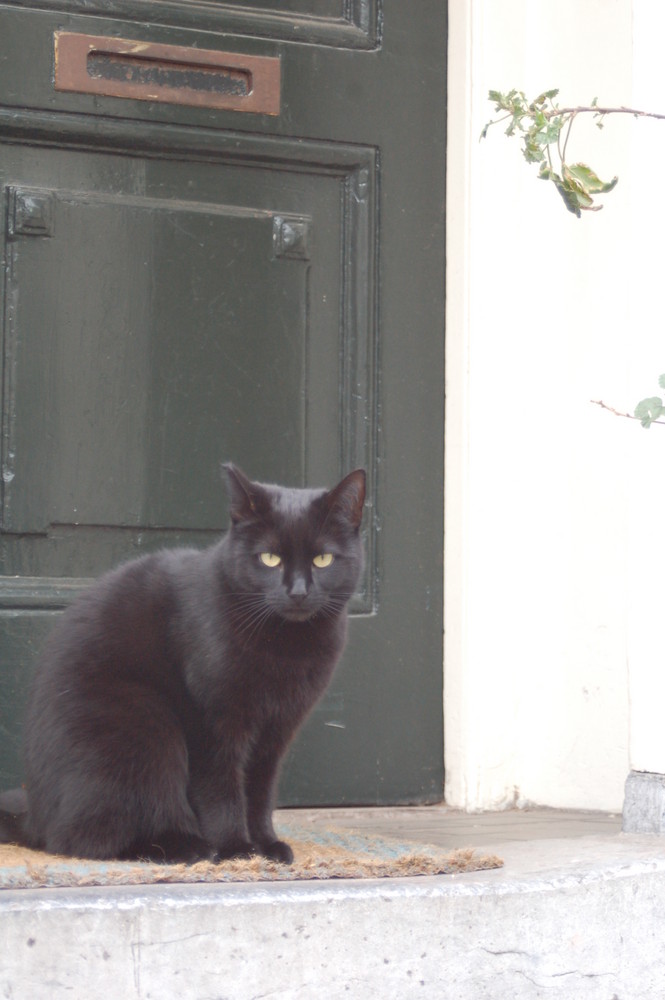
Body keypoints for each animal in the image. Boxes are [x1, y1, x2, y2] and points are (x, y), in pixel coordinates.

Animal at [0, 464, 364, 864]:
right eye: (270, 558)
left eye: (322, 560)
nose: (298, 591)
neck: (286, 648)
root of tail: (33, 816)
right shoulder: (213, 721)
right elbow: (221, 790)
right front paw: (236, 849)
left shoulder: (276, 730)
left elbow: (260, 792)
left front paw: (267, 846)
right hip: (147, 724)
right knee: (85, 838)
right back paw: (187, 846)